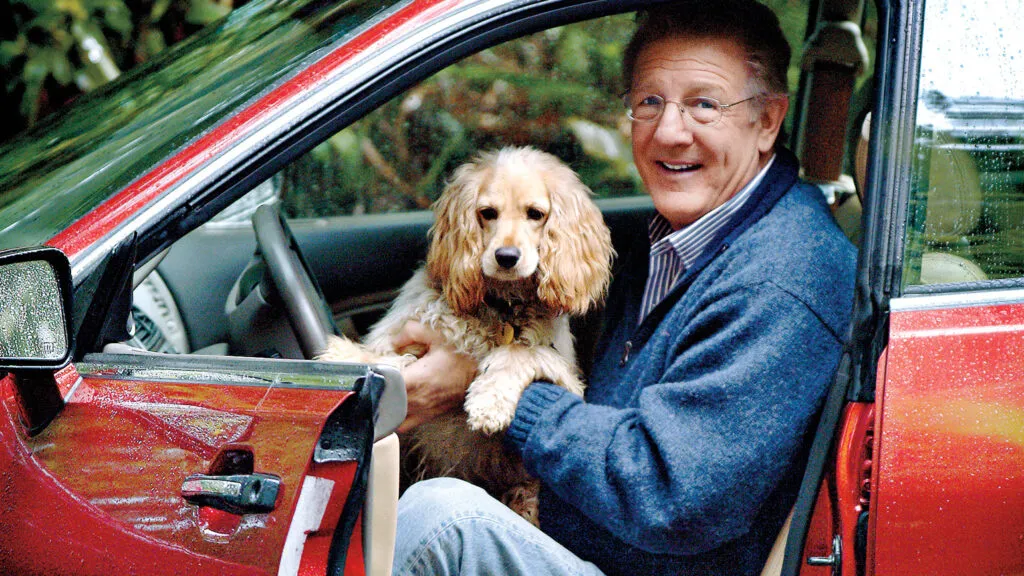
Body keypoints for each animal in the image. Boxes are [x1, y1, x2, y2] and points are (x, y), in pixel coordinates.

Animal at [315, 144, 610, 520]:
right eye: (487, 213)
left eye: (536, 214)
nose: (506, 257)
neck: (502, 305)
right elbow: (391, 354)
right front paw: (347, 355)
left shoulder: (567, 377)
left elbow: (522, 351)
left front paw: (489, 401)